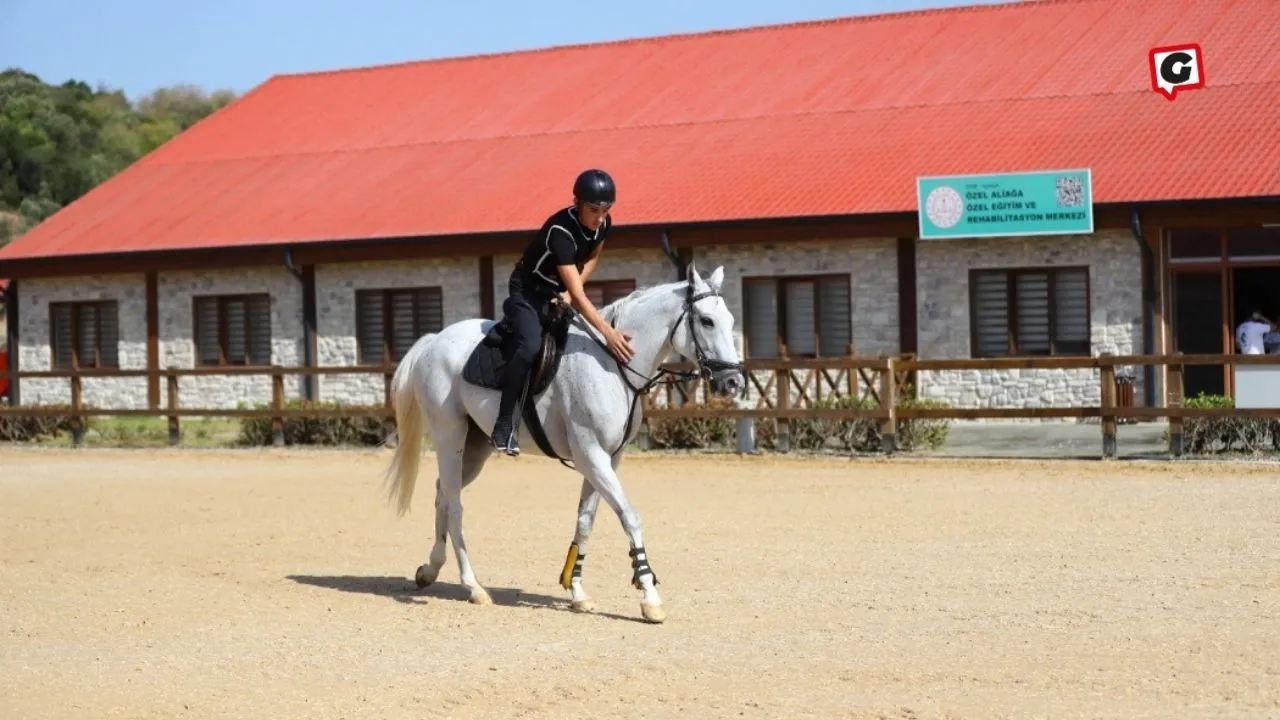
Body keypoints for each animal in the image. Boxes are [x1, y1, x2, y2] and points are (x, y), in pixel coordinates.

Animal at [378, 263, 747, 622]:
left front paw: (577, 592)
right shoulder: (591, 456)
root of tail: (434, 341)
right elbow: (630, 516)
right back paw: (473, 587)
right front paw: (649, 597)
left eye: (730, 321)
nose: (733, 383)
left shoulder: (607, 460)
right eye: (707, 321)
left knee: (443, 492)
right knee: (455, 504)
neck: (612, 365)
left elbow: (585, 521)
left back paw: (430, 570)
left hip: (475, 446)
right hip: (449, 434)